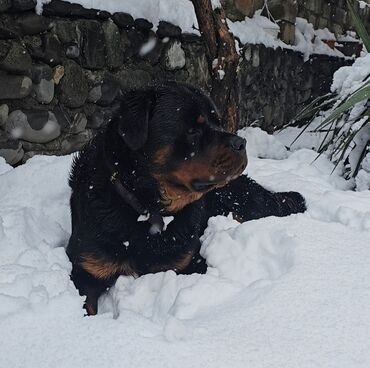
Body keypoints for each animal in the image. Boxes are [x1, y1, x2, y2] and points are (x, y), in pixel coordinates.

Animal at [67, 82, 306, 314]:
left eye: (218, 123)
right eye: (193, 130)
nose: (241, 142)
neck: (147, 209)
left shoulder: (188, 262)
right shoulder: (86, 269)